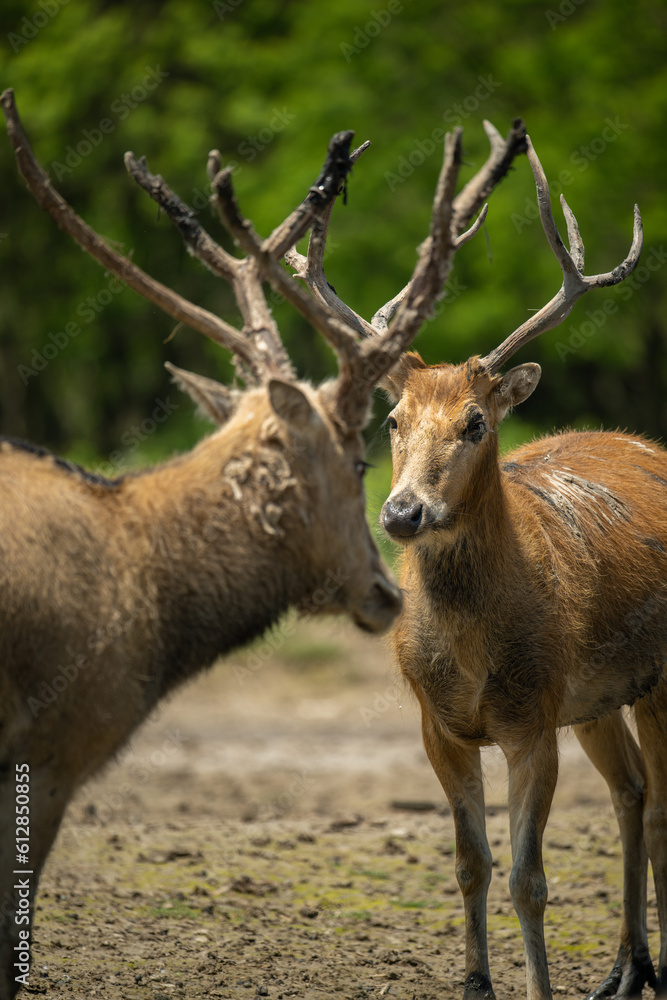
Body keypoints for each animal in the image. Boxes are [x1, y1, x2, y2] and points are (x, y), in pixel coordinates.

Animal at [290, 121, 664, 996]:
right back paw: (624, 970)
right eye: (392, 418)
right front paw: (475, 983)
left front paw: (537, 989)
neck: (472, 652)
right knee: (632, 791)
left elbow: (529, 876)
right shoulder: (441, 722)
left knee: (663, 802)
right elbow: (470, 864)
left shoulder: (531, 717)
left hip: (650, 678)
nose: (401, 512)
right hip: (598, 695)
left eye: (474, 422)